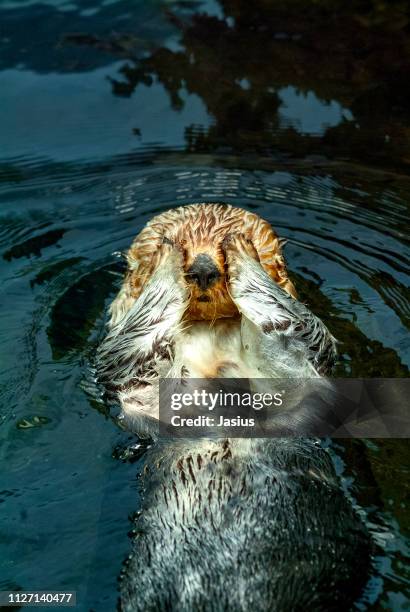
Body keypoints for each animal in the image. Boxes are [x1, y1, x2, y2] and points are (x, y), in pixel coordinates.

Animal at [97, 203, 372, 608]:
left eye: (219, 247)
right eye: (181, 242)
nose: (203, 267)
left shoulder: (301, 365)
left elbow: (290, 321)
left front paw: (243, 249)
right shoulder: (130, 375)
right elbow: (136, 337)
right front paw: (165, 256)